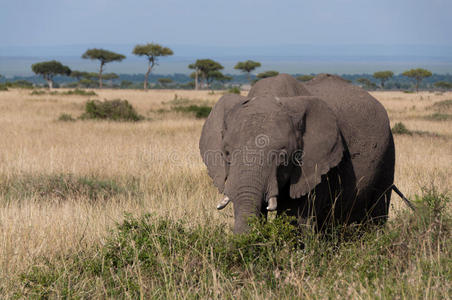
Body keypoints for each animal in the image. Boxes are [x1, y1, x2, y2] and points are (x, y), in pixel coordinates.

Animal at [200, 74, 394, 233]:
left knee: (377, 212)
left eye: (283, 156)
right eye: (226, 153)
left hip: (387, 152)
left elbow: (295, 217)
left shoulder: (315, 164)